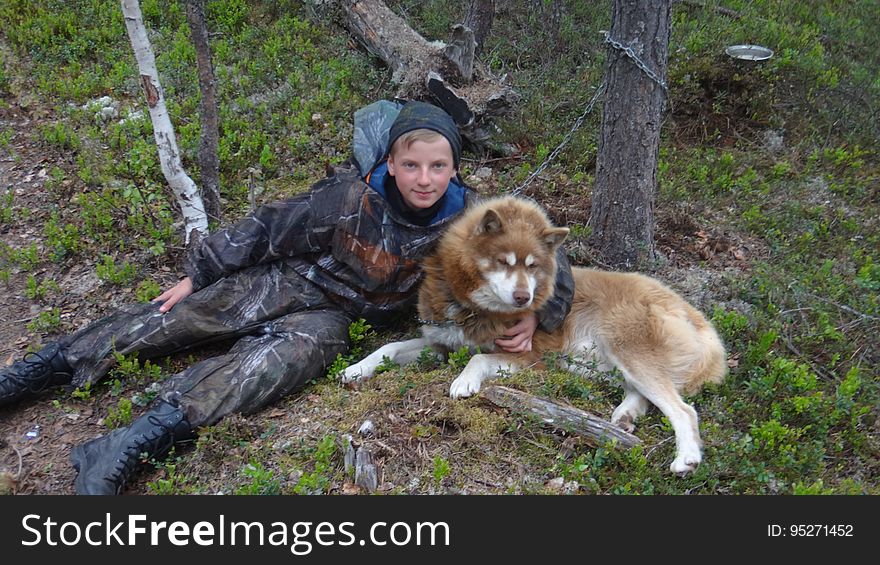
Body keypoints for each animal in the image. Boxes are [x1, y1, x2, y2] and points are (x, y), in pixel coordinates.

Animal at [344, 196, 728, 470]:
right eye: (504, 262)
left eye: (533, 267)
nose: (523, 298)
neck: (472, 307)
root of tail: (698, 318)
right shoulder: (439, 343)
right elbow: (390, 347)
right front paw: (356, 368)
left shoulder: (528, 355)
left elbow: (479, 358)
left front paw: (464, 381)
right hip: (602, 364)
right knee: (644, 394)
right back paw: (625, 417)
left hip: (626, 349)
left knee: (682, 409)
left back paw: (686, 458)